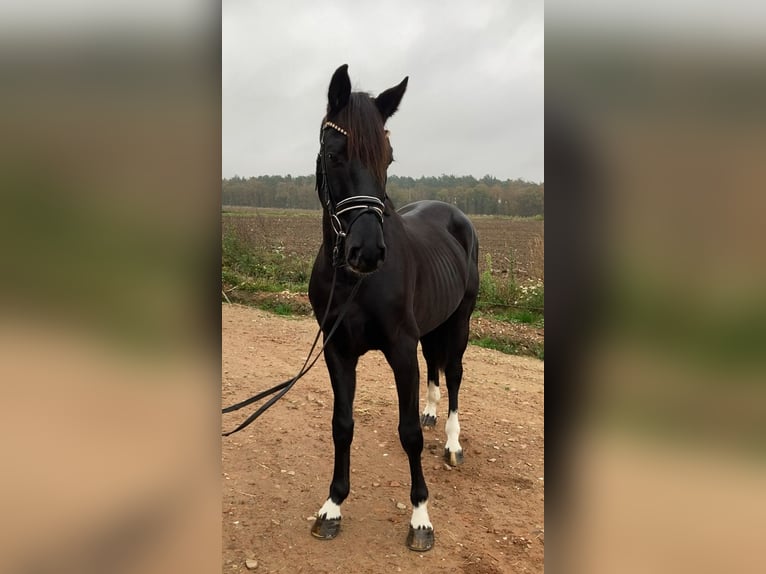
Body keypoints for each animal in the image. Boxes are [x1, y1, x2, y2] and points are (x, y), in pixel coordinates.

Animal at [308, 66, 476, 552]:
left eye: (389, 157)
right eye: (333, 153)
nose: (366, 251)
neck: (355, 283)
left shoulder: (400, 350)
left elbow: (410, 435)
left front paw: (420, 518)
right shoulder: (336, 350)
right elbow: (342, 425)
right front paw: (332, 507)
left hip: (460, 321)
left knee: (453, 374)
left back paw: (452, 443)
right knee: (436, 367)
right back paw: (431, 410)